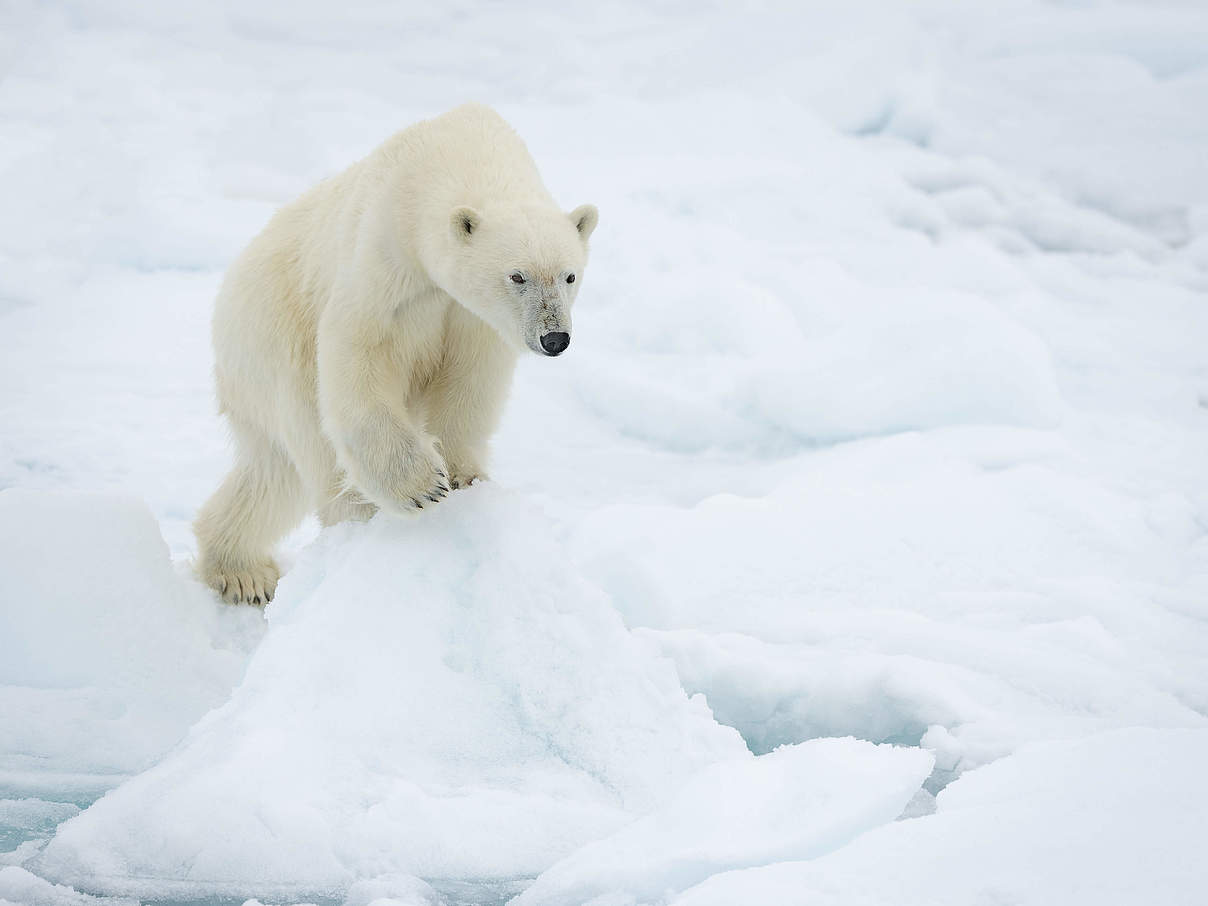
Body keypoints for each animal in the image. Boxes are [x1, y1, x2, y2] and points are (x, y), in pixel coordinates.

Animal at [192, 102, 599, 606]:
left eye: (569, 275)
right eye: (517, 276)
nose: (554, 338)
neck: (460, 151)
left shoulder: (470, 318)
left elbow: (471, 380)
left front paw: (464, 476)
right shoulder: (387, 251)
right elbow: (359, 348)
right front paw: (423, 487)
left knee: (272, 474)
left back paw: (241, 570)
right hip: (274, 339)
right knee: (317, 449)